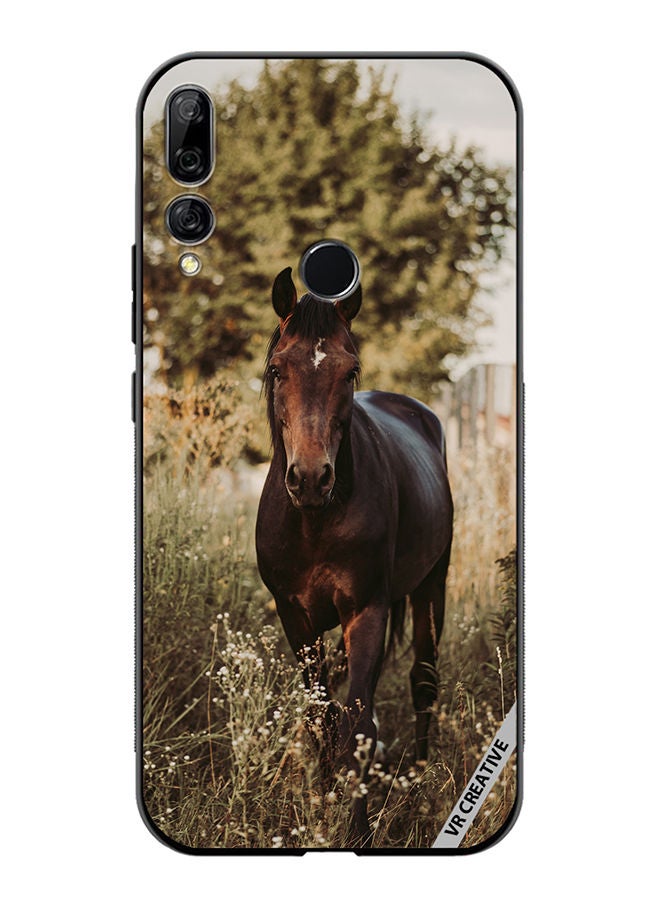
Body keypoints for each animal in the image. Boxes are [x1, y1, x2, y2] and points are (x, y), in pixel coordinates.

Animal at [255, 267, 453, 845]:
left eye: (351, 371)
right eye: (277, 369)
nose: (311, 478)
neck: (315, 520)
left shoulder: (366, 611)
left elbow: (359, 724)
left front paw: (358, 831)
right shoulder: (295, 618)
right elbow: (320, 718)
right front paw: (322, 805)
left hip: (432, 586)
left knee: (423, 683)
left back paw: (417, 784)